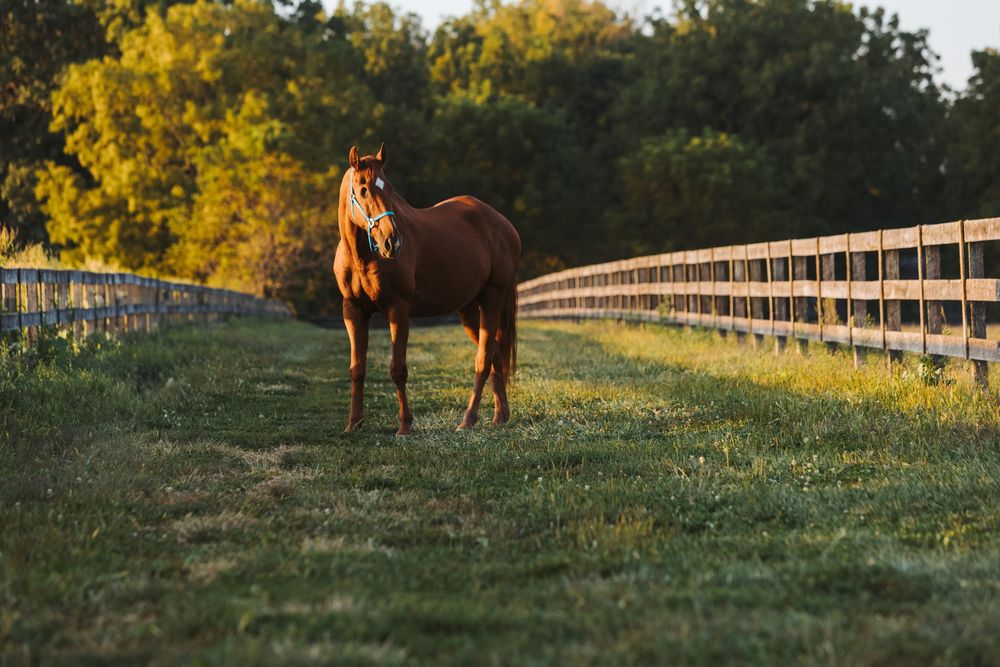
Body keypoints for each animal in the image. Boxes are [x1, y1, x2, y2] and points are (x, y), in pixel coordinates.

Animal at [333, 143, 521, 436]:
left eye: (389, 188)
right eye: (363, 189)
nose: (392, 242)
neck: (362, 256)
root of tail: (503, 224)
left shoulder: (398, 309)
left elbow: (398, 369)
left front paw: (404, 426)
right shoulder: (353, 311)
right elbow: (357, 369)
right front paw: (353, 424)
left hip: (492, 300)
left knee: (483, 359)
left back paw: (468, 419)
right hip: (469, 310)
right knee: (495, 355)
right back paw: (500, 416)